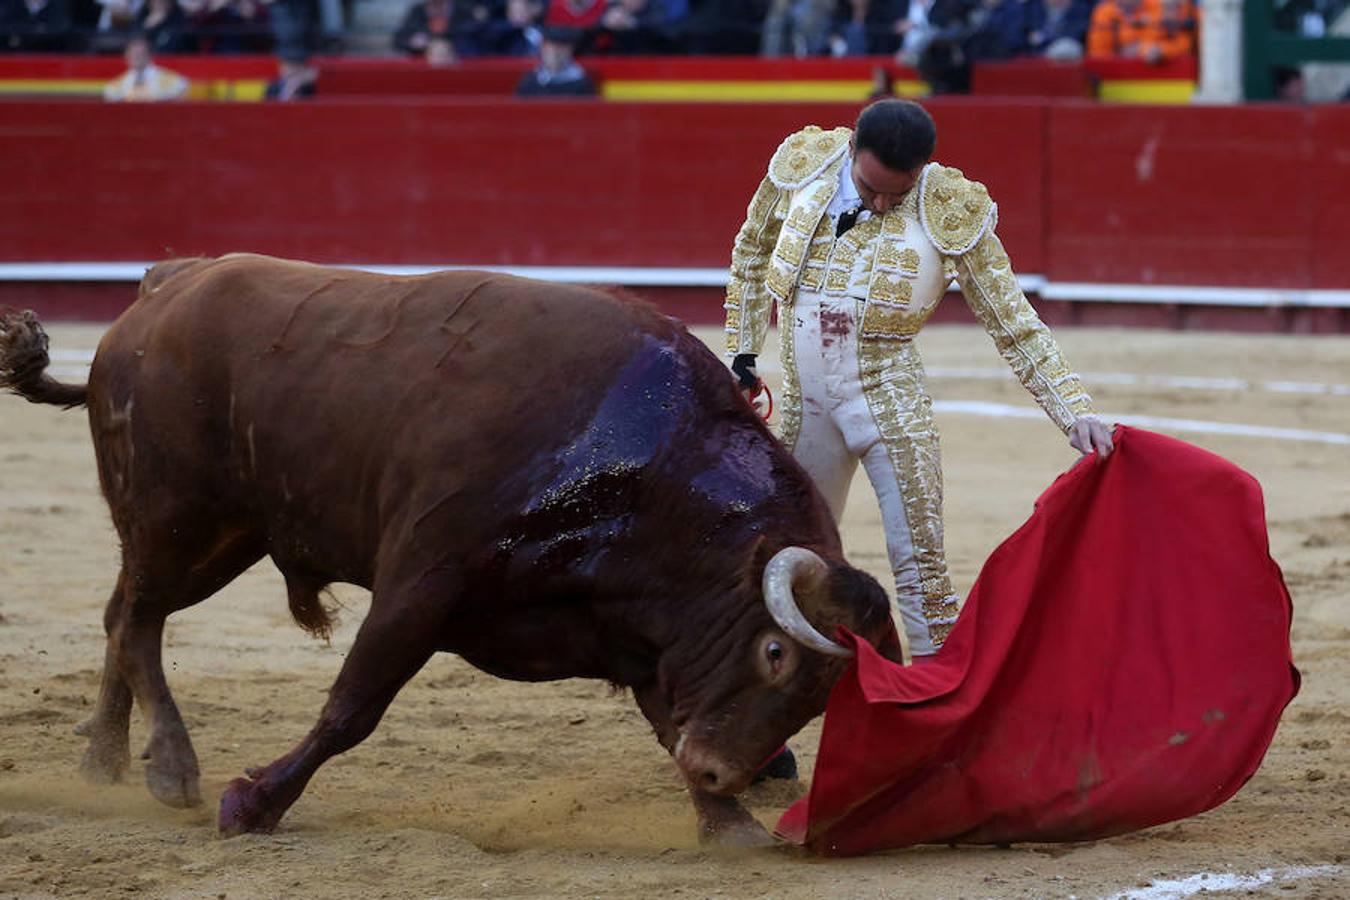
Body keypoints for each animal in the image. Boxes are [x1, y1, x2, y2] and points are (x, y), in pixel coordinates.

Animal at [5, 253, 901, 847]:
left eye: (824, 692)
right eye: (776, 654)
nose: (720, 771)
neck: (647, 466)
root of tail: (163, 289)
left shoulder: (642, 635)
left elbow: (661, 718)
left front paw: (726, 823)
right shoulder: (421, 583)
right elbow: (352, 707)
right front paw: (252, 803)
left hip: (217, 536)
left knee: (123, 614)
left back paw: (104, 761)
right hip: (180, 522)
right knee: (139, 620)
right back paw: (170, 770)